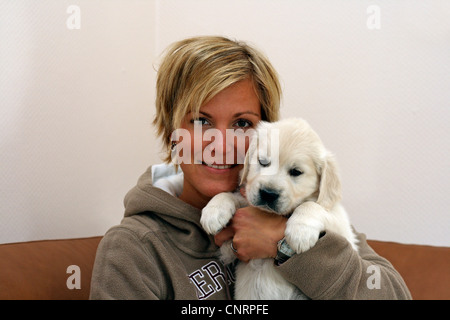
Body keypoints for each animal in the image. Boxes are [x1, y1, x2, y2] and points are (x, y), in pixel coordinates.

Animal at [201, 117, 358, 300]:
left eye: (296, 171)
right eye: (263, 162)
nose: (268, 193)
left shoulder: (344, 230)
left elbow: (312, 205)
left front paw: (300, 232)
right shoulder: (229, 250)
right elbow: (233, 196)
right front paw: (213, 211)